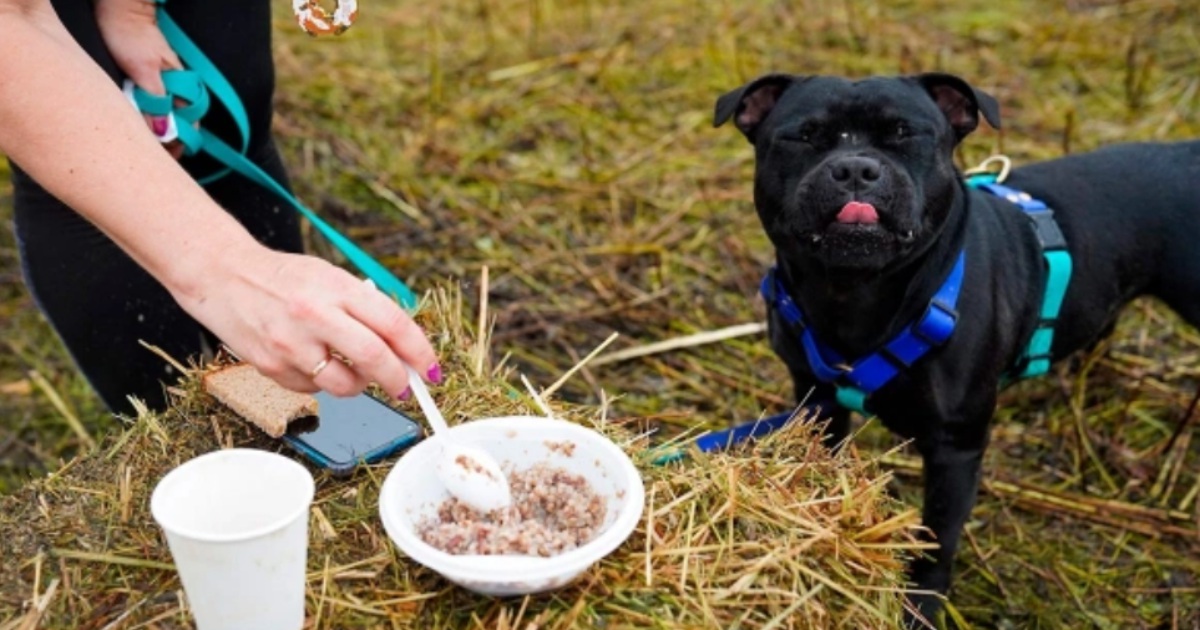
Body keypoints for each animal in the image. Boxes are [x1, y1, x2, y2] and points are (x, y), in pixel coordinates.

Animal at [710, 71, 1200, 619]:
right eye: (804, 136)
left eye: (906, 134)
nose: (856, 168)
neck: (854, 293)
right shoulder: (818, 401)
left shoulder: (955, 447)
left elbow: (936, 537)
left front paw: (920, 608)